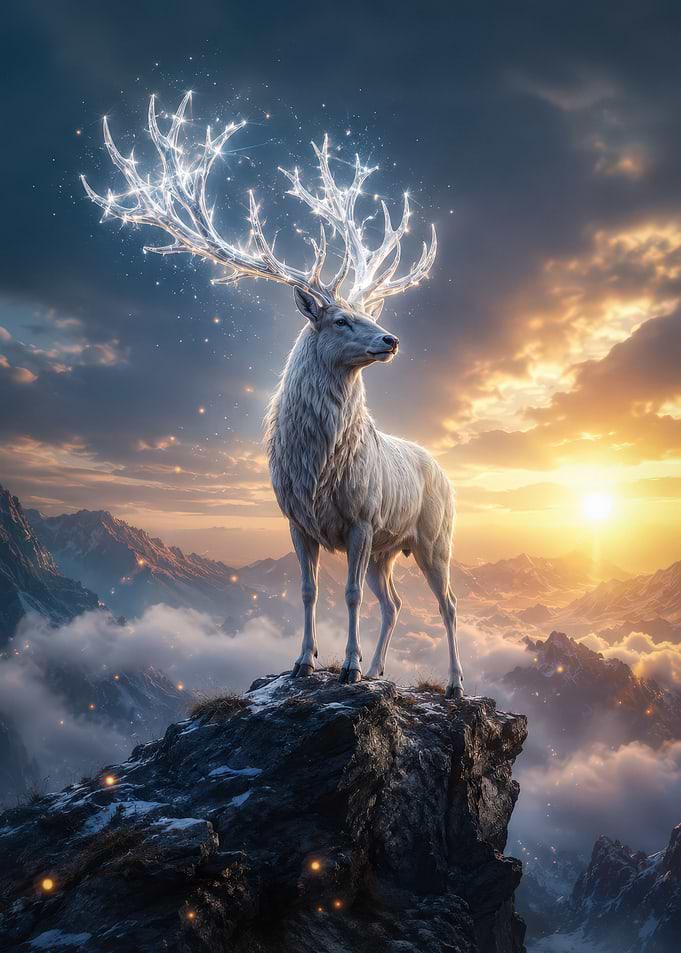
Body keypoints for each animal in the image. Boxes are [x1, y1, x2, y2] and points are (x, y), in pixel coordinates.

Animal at [82, 93, 465, 698]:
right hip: (389, 549)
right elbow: (309, 592)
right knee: (396, 603)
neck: (319, 466)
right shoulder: (297, 520)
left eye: (368, 313)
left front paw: (347, 666)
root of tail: (446, 473)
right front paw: (306, 661)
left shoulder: (361, 517)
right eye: (340, 319)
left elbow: (347, 596)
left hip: (434, 536)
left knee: (447, 603)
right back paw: (382, 669)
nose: (391, 339)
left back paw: (451, 682)